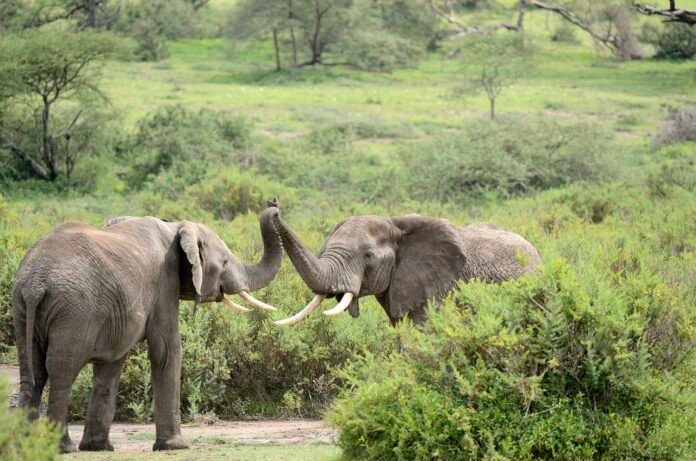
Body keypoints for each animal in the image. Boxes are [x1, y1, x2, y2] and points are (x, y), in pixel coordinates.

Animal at [12, 203, 282, 453]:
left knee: (32, 372)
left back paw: (26, 446)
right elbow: (167, 351)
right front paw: (175, 446)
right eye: (224, 261)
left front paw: (98, 447)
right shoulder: (165, 283)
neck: (176, 227)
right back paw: (63, 447)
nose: (275, 207)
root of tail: (35, 283)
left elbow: (111, 365)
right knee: (61, 372)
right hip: (73, 311)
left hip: (23, 308)